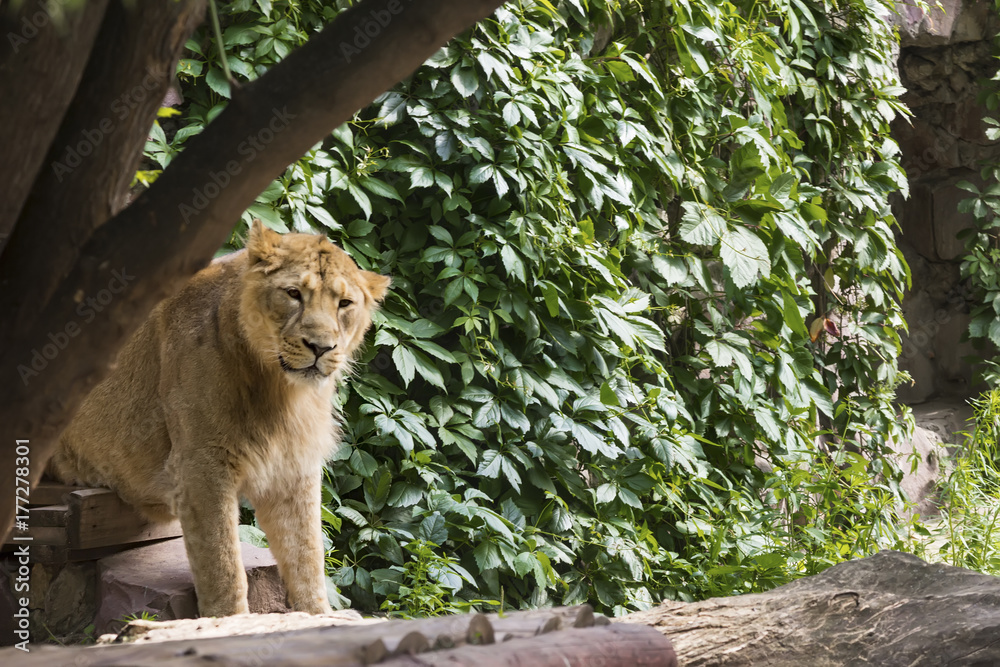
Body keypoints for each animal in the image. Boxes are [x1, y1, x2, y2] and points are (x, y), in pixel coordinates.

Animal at [48, 220, 390, 617]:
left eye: (344, 304)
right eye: (293, 294)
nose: (321, 347)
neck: (279, 389)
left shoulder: (293, 465)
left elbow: (307, 555)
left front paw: (318, 617)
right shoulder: (200, 465)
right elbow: (223, 566)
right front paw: (230, 623)